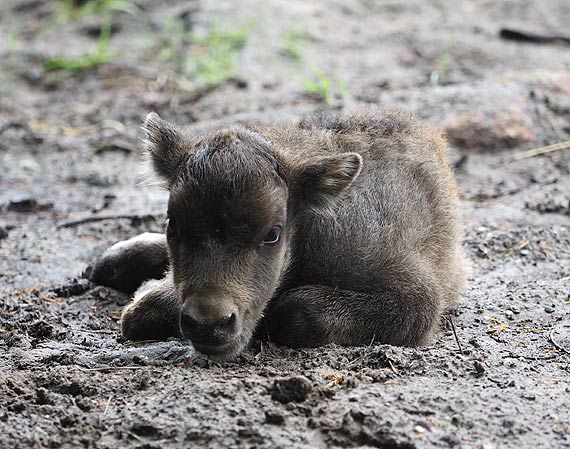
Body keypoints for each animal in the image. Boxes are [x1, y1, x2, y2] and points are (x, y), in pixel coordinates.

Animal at [86, 110, 464, 358]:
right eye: (173, 225)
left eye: (272, 234)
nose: (209, 323)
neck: (311, 226)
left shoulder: (415, 296)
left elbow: (296, 308)